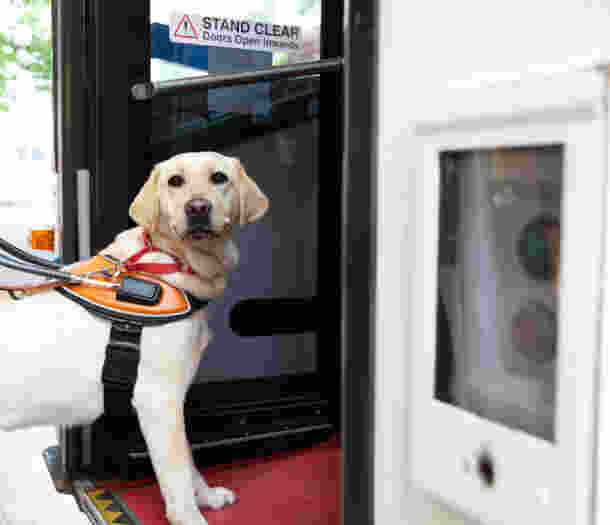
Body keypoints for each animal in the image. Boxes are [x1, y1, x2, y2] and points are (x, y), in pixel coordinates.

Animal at [0, 151, 268, 524]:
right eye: (175, 181)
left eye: (219, 178)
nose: (197, 207)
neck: (170, 264)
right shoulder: (159, 401)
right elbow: (177, 476)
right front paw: (190, 516)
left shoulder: (171, 400)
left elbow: (189, 464)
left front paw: (207, 497)